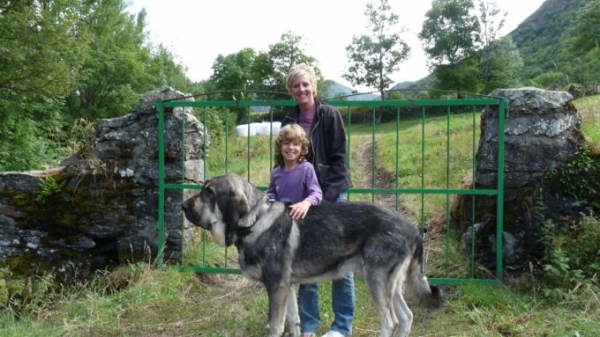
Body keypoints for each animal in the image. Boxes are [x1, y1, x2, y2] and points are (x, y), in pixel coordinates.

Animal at [180, 173, 442, 336]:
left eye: (209, 193)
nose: (182, 206)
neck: (255, 220)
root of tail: (412, 229)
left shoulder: (275, 287)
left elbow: (275, 326)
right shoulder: (286, 287)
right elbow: (293, 321)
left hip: (376, 281)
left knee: (391, 322)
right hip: (392, 284)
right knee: (406, 317)